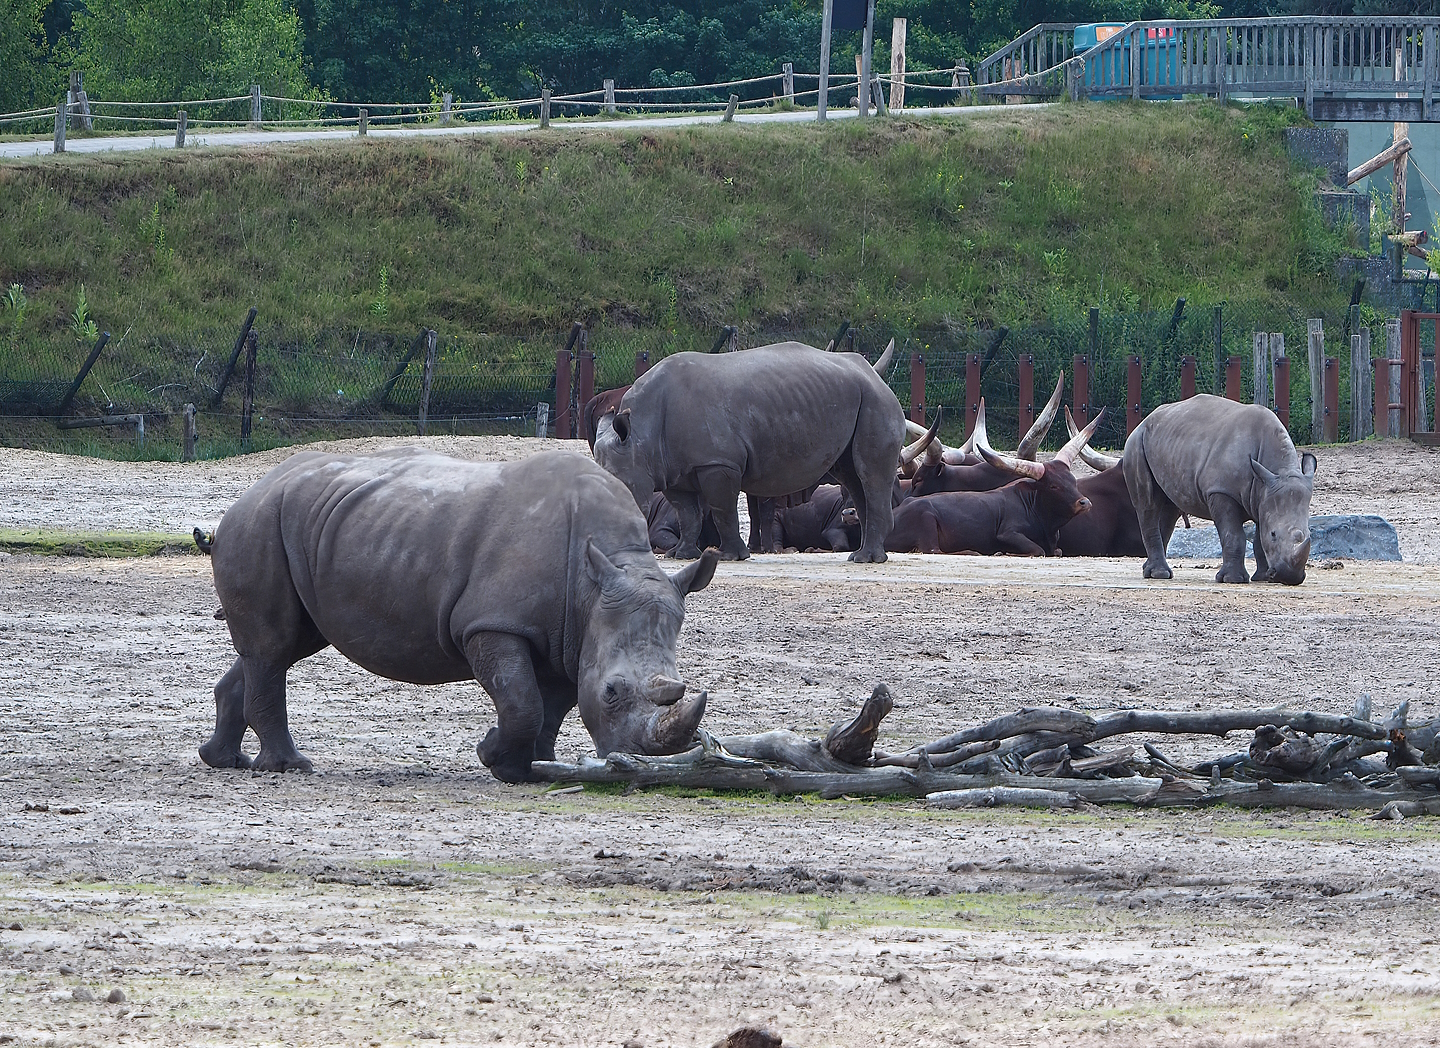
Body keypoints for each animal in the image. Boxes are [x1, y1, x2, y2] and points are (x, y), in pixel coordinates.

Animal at [197, 448, 716, 784]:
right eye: (612, 693)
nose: (639, 765)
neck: (601, 579)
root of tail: (247, 493)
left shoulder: (573, 635)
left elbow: (553, 704)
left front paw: (534, 768)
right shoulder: (492, 623)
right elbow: (523, 700)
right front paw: (495, 758)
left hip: (309, 527)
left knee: (285, 644)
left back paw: (223, 760)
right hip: (260, 523)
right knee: (274, 646)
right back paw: (288, 767)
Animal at [593, 340, 903, 562]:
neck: (639, 434)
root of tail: (874, 374)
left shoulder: (718, 463)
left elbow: (722, 509)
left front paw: (729, 556)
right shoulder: (669, 469)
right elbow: (687, 513)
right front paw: (681, 555)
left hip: (876, 400)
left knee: (868, 475)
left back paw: (865, 559)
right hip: (859, 399)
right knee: (851, 474)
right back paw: (862, 556)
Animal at [885, 411, 1104, 555]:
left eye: (1073, 481)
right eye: (1053, 486)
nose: (1084, 503)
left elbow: (1056, 551)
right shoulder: (1007, 533)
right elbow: (1038, 550)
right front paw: (1006, 552)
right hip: (927, 520)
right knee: (933, 550)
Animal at [1124, 394, 1316, 584]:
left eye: (1309, 533)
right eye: (1274, 534)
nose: (1289, 577)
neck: (1278, 472)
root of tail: (1145, 420)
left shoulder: (1263, 494)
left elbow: (1259, 540)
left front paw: (1261, 578)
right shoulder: (1221, 491)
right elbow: (1234, 535)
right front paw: (1233, 580)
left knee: (1170, 507)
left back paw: (1150, 570)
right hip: (1135, 443)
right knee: (1148, 505)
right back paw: (1159, 574)